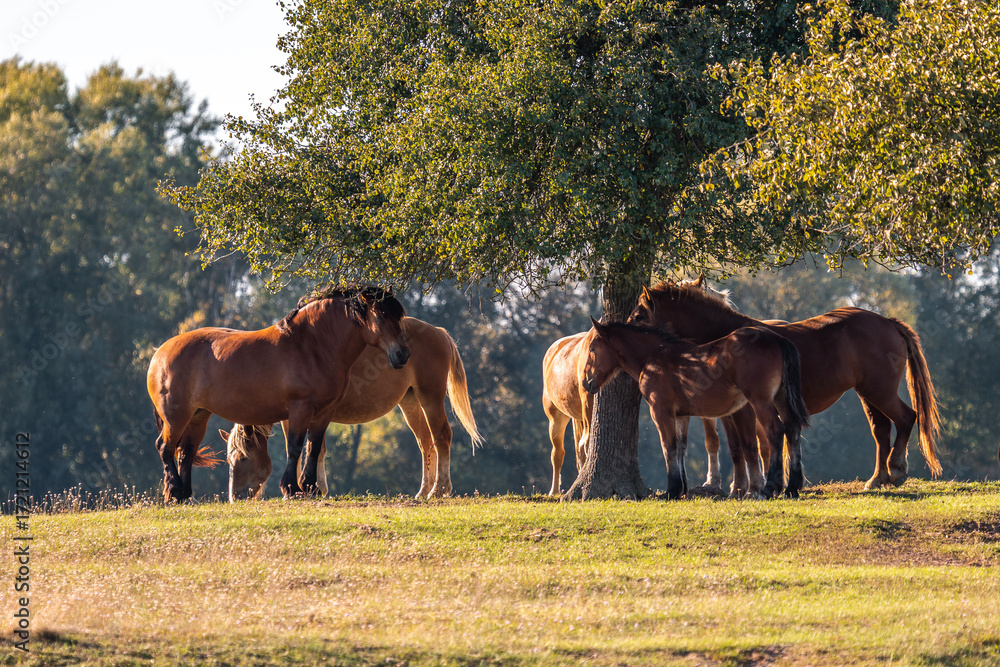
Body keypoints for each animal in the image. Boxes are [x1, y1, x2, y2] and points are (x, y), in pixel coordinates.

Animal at [146, 285, 410, 502]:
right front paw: (292, 489)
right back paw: (175, 492)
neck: (311, 346)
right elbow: (294, 447)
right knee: (165, 447)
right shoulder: (300, 409)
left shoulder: (325, 411)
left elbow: (313, 447)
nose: (402, 354)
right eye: (381, 315)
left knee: (186, 452)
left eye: (398, 316)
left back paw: (185, 495)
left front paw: (311, 488)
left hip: (198, 416)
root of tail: (159, 354)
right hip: (177, 417)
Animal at [223, 317, 483, 500]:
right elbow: (317, 448)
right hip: (410, 401)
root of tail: (439, 332)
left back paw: (439, 489)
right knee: (425, 443)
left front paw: (298, 489)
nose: (235, 497)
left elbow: (299, 448)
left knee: (442, 437)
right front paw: (316, 488)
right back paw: (423, 491)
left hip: (430, 397)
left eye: (243, 458)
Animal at [582, 318, 811, 499]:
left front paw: (672, 490)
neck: (653, 358)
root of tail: (777, 339)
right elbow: (681, 447)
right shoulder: (681, 416)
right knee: (792, 429)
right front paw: (682, 489)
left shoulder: (661, 412)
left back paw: (769, 489)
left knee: (775, 431)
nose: (586, 382)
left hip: (760, 401)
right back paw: (792, 488)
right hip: (781, 398)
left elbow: (669, 446)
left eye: (592, 349)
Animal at [629, 281, 942, 490]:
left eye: (639, 316)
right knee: (881, 430)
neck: (724, 339)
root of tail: (887, 321)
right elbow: (742, 447)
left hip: (879, 391)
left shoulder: (743, 411)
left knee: (906, 418)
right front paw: (748, 486)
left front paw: (748, 487)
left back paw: (896, 469)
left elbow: (747, 446)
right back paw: (878, 478)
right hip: (868, 393)